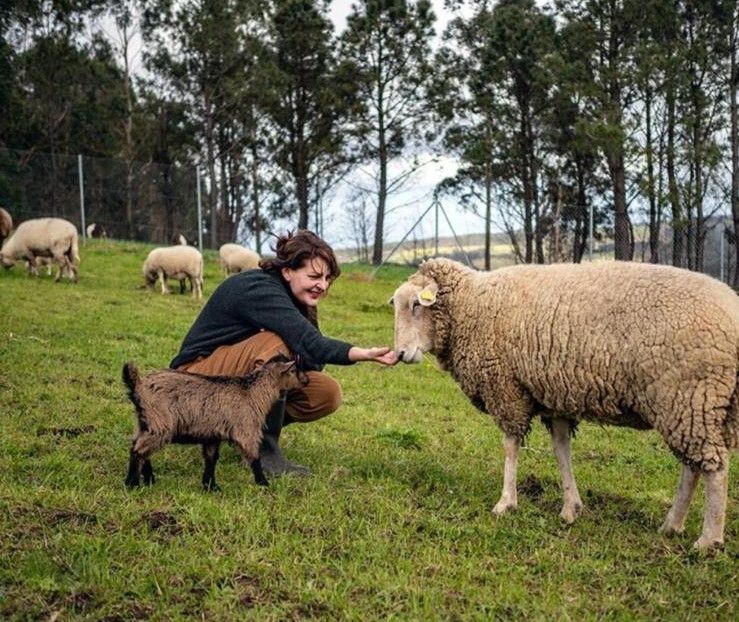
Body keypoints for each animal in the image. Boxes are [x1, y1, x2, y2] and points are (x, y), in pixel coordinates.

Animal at [122, 354, 308, 490]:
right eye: (294, 370)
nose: (306, 380)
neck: (252, 393)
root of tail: (139, 386)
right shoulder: (246, 430)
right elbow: (255, 457)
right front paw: (263, 484)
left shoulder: (212, 435)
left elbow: (211, 459)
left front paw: (211, 487)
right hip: (160, 424)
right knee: (138, 450)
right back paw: (132, 484)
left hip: (145, 423)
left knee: (141, 448)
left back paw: (149, 480)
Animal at [390, 258, 739, 550]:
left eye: (417, 305)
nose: (400, 354)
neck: (470, 306)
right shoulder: (554, 396)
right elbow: (561, 451)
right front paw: (571, 507)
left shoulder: (506, 389)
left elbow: (510, 446)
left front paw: (506, 502)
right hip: (693, 406)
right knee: (692, 466)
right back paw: (672, 525)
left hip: (690, 396)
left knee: (714, 469)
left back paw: (708, 540)